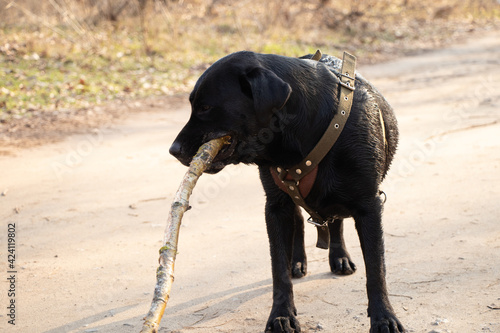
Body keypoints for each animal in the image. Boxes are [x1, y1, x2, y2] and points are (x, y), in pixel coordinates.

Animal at [170, 50, 404, 332]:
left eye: (205, 107)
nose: (173, 150)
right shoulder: (276, 207)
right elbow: (279, 268)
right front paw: (281, 315)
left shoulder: (369, 205)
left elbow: (376, 269)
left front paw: (384, 317)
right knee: (302, 222)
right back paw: (299, 261)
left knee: (334, 221)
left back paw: (339, 257)